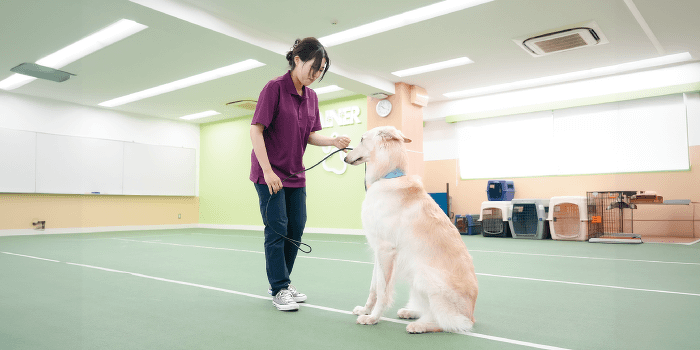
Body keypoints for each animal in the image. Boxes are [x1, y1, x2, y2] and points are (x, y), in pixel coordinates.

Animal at [344, 126, 478, 334]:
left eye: (362, 139)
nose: (345, 157)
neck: (388, 177)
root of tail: (470, 314)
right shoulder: (378, 252)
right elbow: (374, 288)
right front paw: (365, 310)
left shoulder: (385, 251)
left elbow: (382, 290)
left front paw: (373, 318)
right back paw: (411, 312)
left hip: (423, 274)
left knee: (447, 323)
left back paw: (419, 325)